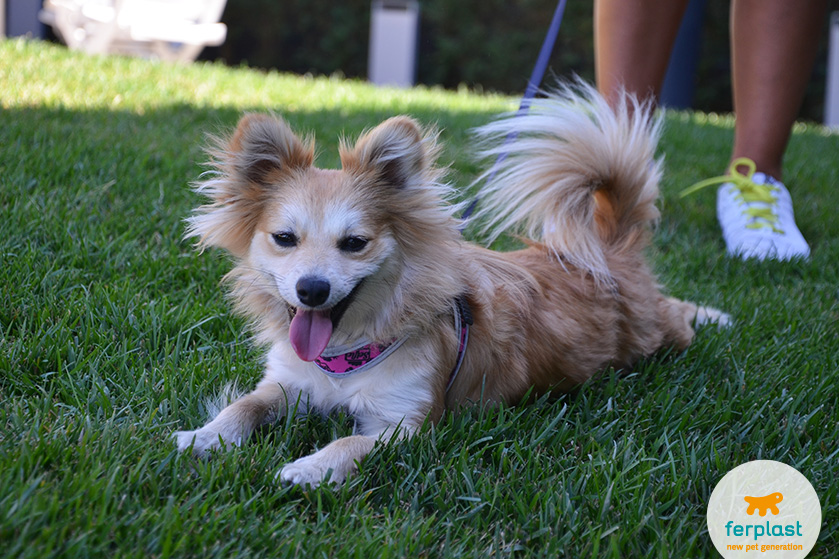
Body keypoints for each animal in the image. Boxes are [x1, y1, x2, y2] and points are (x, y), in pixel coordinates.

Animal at [172, 82, 728, 486]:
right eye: (284, 239)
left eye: (355, 243)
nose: (311, 289)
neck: (346, 355)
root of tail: (608, 250)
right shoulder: (287, 384)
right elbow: (246, 404)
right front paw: (205, 437)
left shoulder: (407, 424)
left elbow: (351, 442)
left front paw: (311, 467)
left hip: (655, 334)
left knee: (677, 313)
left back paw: (713, 315)